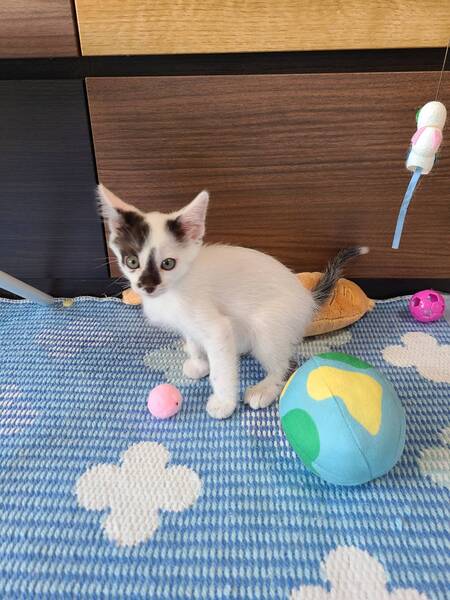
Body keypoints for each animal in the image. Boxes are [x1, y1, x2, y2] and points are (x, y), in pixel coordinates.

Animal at [98, 184, 368, 419]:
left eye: (168, 263)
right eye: (132, 261)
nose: (147, 286)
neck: (174, 289)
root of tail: (306, 298)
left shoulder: (214, 325)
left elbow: (221, 370)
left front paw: (224, 403)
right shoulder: (188, 324)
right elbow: (193, 340)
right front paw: (198, 362)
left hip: (267, 325)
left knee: (287, 362)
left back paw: (266, 388)